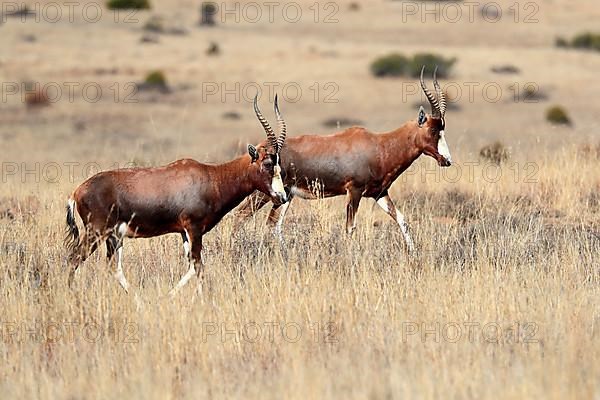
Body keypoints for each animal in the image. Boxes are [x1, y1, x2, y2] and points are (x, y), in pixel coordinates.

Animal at [65, 94, 288, 296]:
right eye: (267, 163)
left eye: (279, 163)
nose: (282, 197)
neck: (211, 176)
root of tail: (77, 192)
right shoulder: (194, 228)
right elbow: (198, 266)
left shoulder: (183, 232)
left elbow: (191, 266)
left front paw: (170, 295)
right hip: (96, 233)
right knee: (75, 258)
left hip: (113, 237)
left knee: (112, 266)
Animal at [237, 66, 452, 253]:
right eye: (433, 130)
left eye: (442, 129)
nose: (447, 160)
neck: (378, 144)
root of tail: (259, 148)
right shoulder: (354, 191)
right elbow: (350, 227)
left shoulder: (380, 193)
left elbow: (401, 219)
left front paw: (413, 252)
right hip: (264, 194)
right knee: (242, 215)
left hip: (285, 196)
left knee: (273, 224)